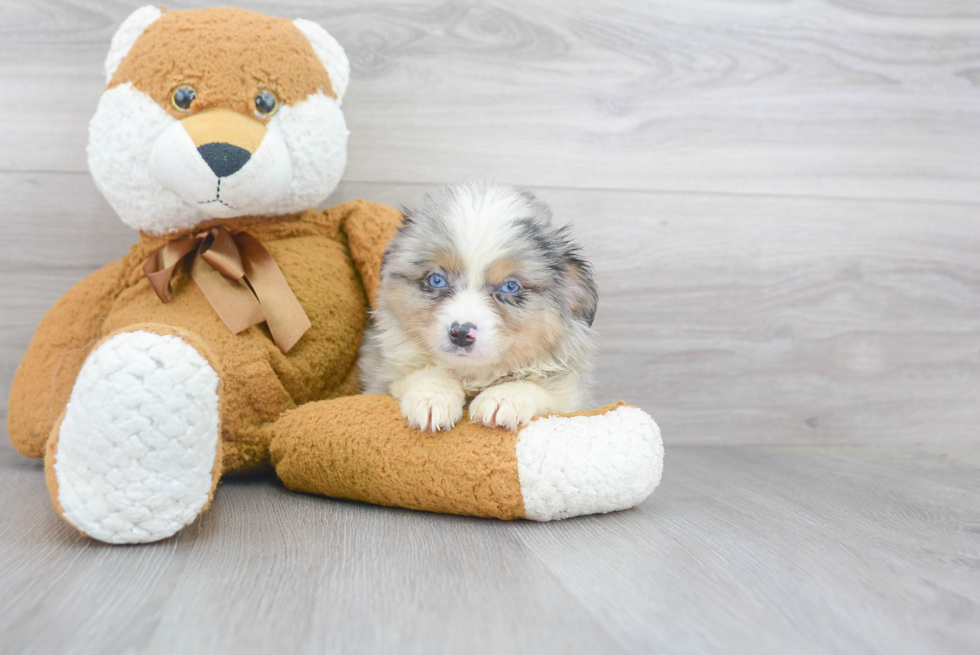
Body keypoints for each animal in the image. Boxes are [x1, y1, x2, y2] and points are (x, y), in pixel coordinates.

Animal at [358, 182, 596, 434]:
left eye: (510, 286)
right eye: (436, 280)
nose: (461, 333)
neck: (472, 375)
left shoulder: (571, 399)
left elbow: (535, 387)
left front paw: (503, 399)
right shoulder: (382, 380)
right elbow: (425, 373)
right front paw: (433, 397)